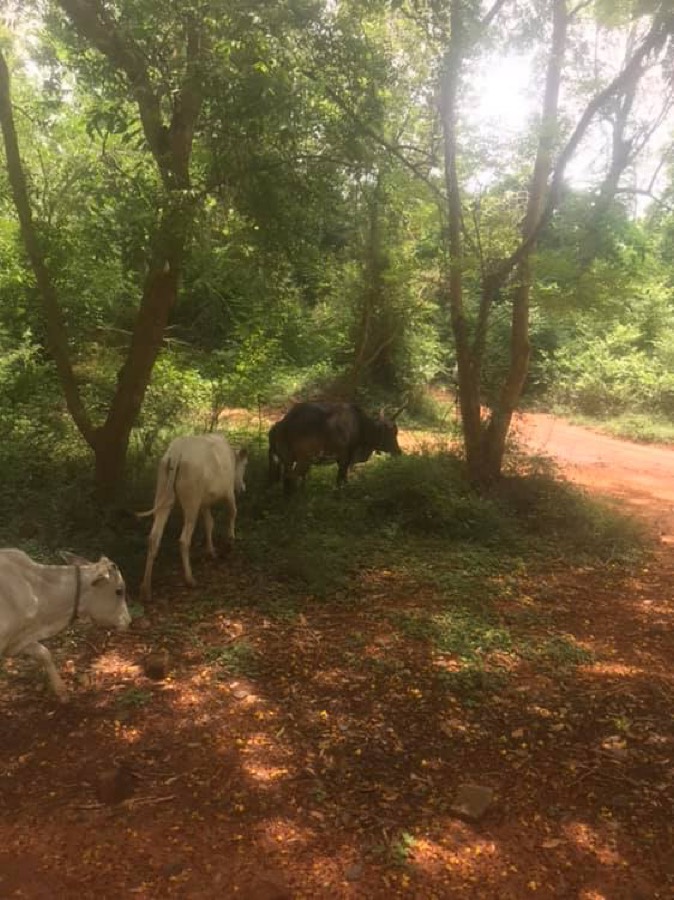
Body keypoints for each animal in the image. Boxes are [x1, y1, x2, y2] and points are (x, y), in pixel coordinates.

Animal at [138, 434, 248, 601]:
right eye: (245, 466)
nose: (242, 487)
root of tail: (176, 452)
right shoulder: (228, 492)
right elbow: (232, 512)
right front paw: (229, 543)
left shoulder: (204, 502)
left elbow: (209, 523)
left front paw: (211, 551)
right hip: (192, 500)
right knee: (184, 539)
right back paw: (190, 579)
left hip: (164, 493)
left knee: (154, 537)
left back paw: (146, 589)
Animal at [269, 401, 403, 493]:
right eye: (392, 432)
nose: (398, 452)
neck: (361, 425)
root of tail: (283, 424)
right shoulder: (345, 457)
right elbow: (341, 479)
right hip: (304, 460)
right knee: (290, 478)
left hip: (287, 460)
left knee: (287, 480)